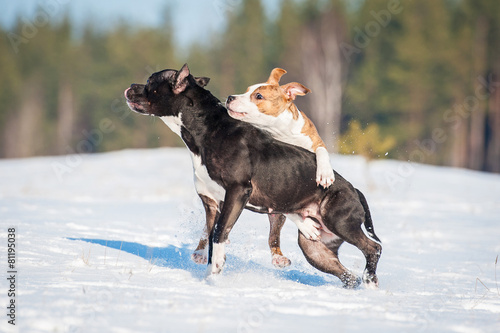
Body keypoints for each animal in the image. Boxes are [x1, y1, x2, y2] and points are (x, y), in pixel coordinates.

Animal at [125, 63, 382, 286]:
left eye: (150, 82)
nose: (129, 86)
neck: (206, 130)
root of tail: (354, 189)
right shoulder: (211, 203)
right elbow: (210, 236)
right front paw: (209, 274)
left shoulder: (238, 192)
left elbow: (218, 233)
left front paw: (215, 271)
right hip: (315, 248)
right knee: (347, 275)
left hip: (340, 221)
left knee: (373, 248)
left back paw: (370, 283)